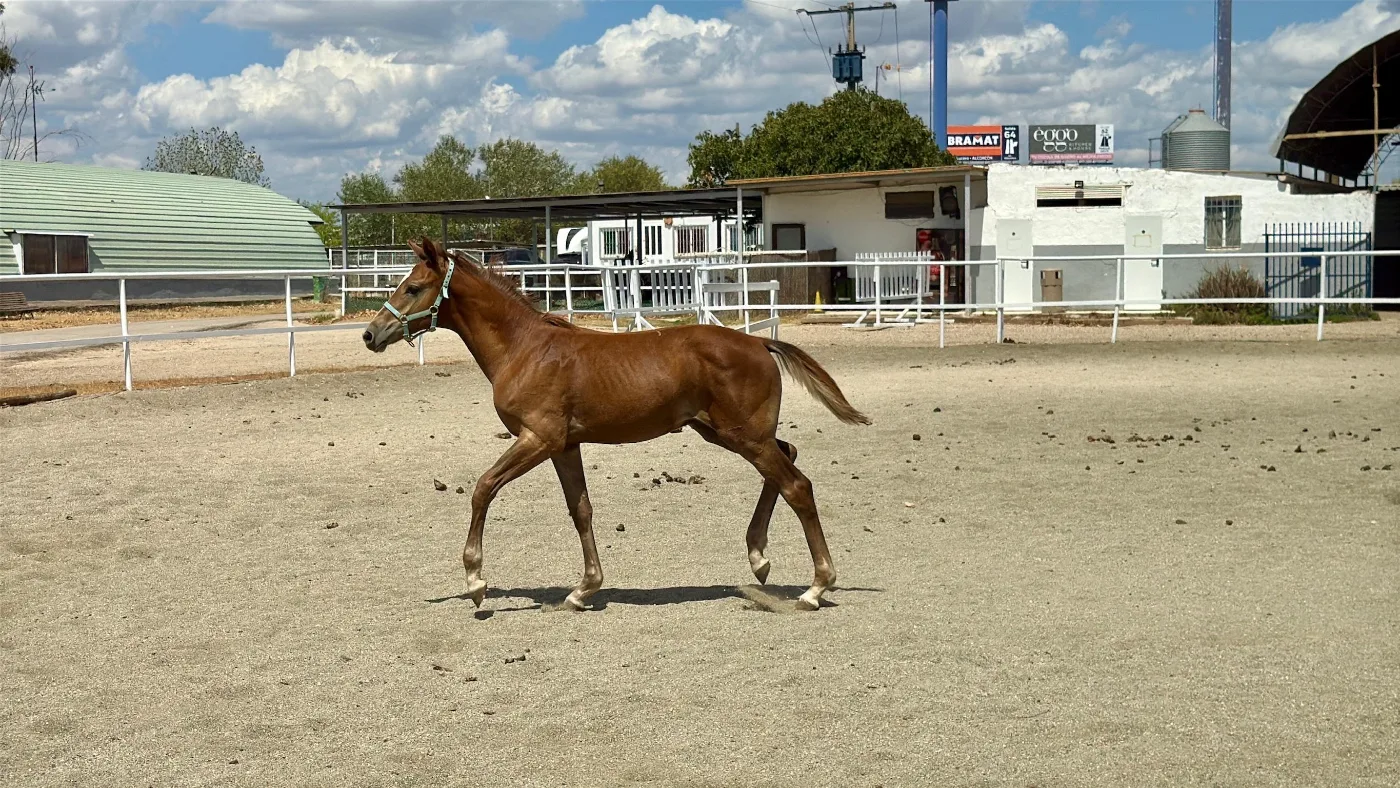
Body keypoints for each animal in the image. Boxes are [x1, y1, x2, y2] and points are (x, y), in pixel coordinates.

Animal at [361, 237, 871, 611]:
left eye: (412, 288)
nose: (370, 334)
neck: (525, 349)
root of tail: (759, 343)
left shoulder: (538, 438)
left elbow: (484, 487)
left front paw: (475, 580)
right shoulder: (564, 445)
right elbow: (580, 510)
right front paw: (584, 589)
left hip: (742, 435)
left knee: (796, 485)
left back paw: (815, 587)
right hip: (728, 433)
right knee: (787, 459)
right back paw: (759, 557)